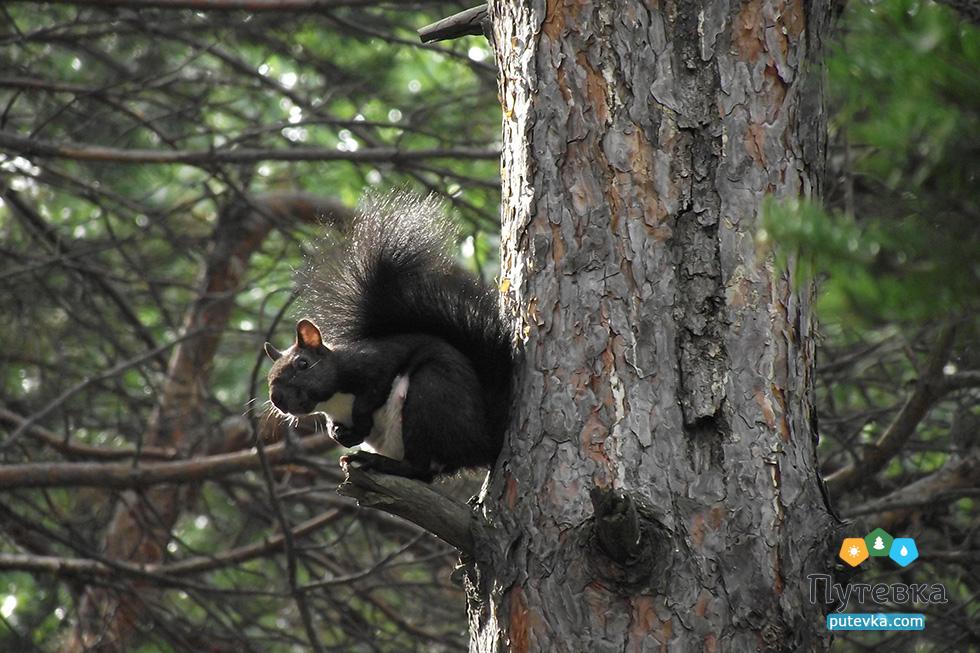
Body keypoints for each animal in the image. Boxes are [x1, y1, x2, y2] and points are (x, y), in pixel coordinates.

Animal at [264, 191, 516, 482]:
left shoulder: (376, 361)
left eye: (302, 364)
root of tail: (482, 443)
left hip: (430, 394)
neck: (334, 401)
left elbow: (371, 393)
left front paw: (359, 426)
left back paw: (374, 461)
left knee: (420, 469)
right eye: (269, 377)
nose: (276, 399)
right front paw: (337, 433)